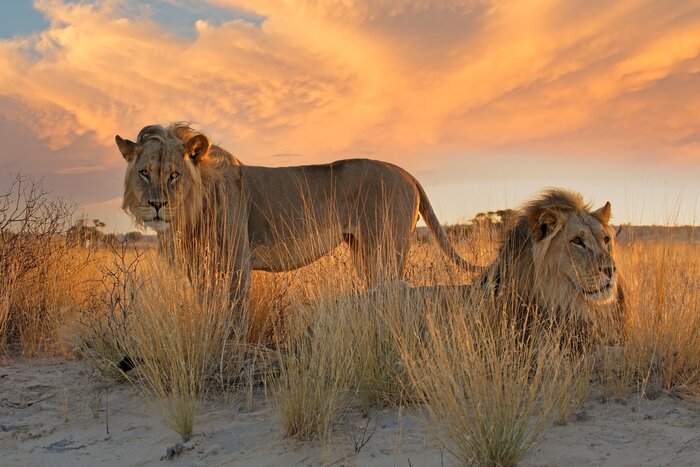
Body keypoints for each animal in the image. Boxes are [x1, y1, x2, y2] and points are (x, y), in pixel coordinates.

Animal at [115, 123, 480, 305]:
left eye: (174, 174)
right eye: (145, 173)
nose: (156, 205)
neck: (189, 216)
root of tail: (407, 173)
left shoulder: (238, 261)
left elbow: (233, 316)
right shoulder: (198, 268)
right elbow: (206, 307)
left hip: (386, 249)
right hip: (364, 250)